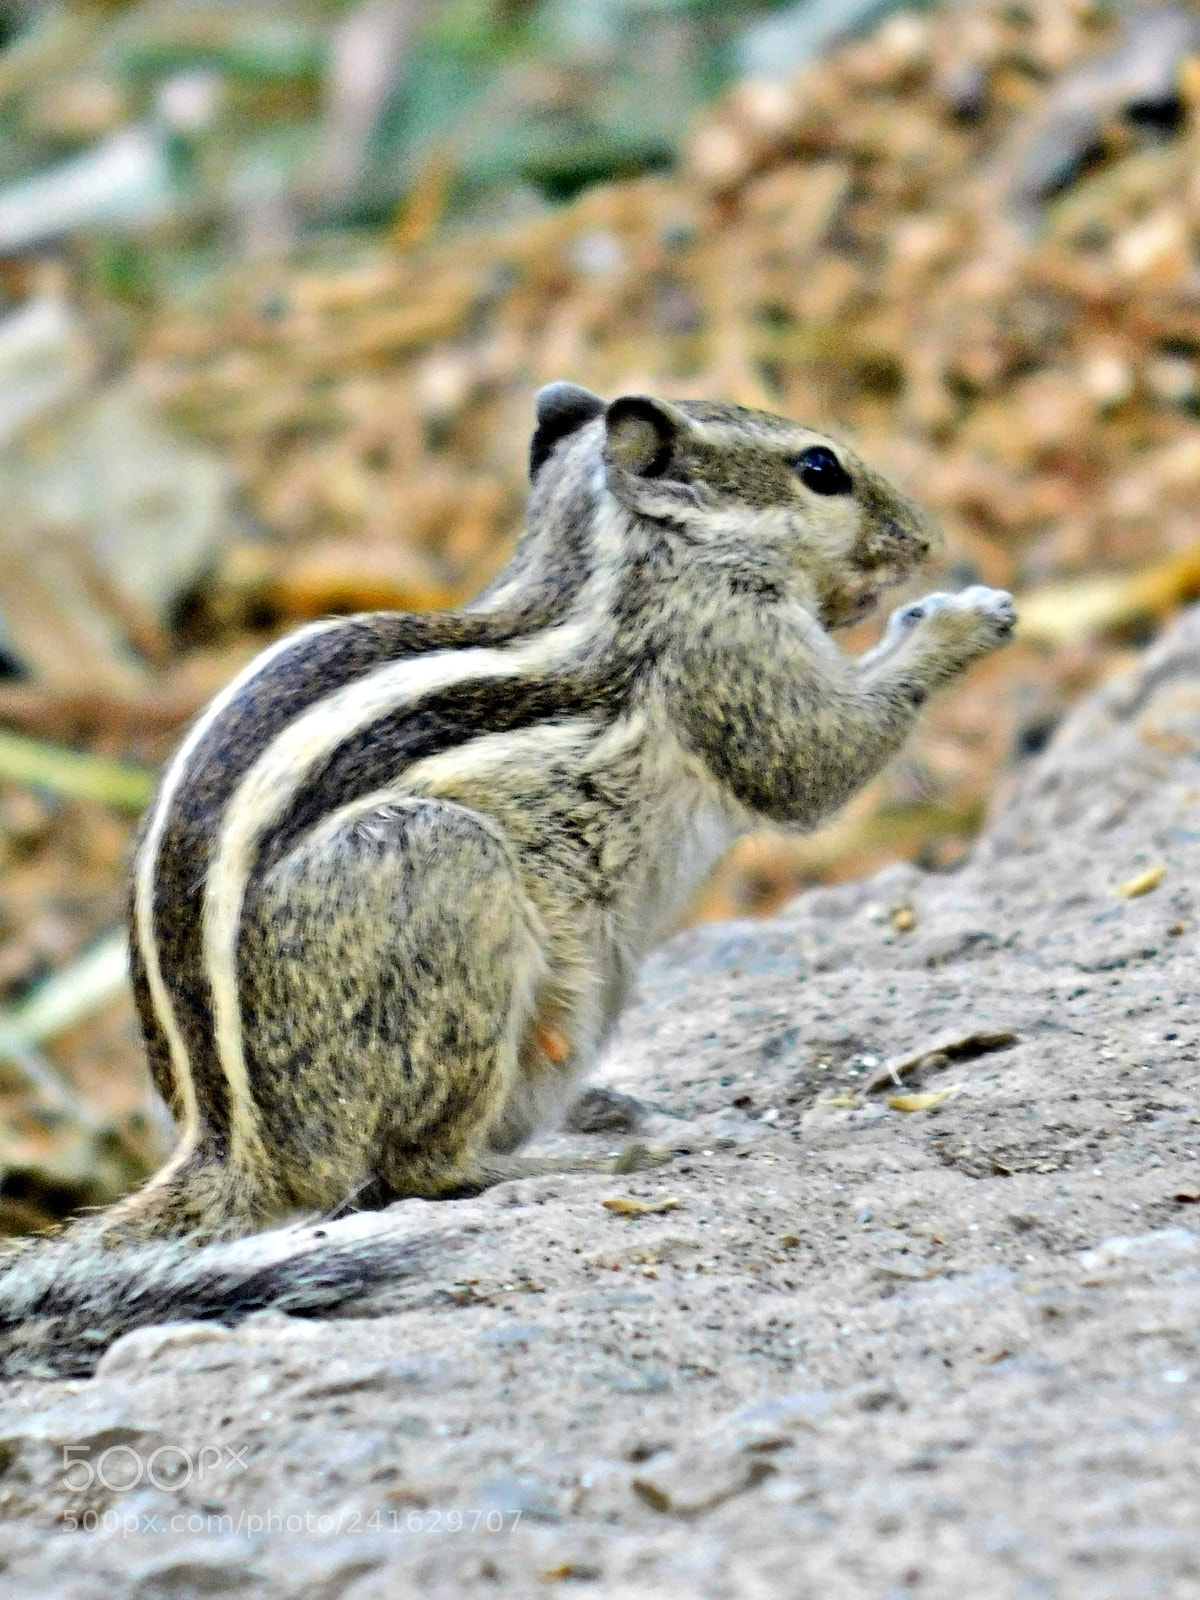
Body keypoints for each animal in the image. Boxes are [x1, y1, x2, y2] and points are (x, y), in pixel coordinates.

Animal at [0, 384, 1015, 1375]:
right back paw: (601, 1161)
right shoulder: (728, 648)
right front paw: (964, 618)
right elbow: (815, 761)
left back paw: (615, 1113)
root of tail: (240, 1149)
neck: (611, 559)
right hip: (447, 878)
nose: (923, 539)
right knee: (421, 1174)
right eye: (820, 469)